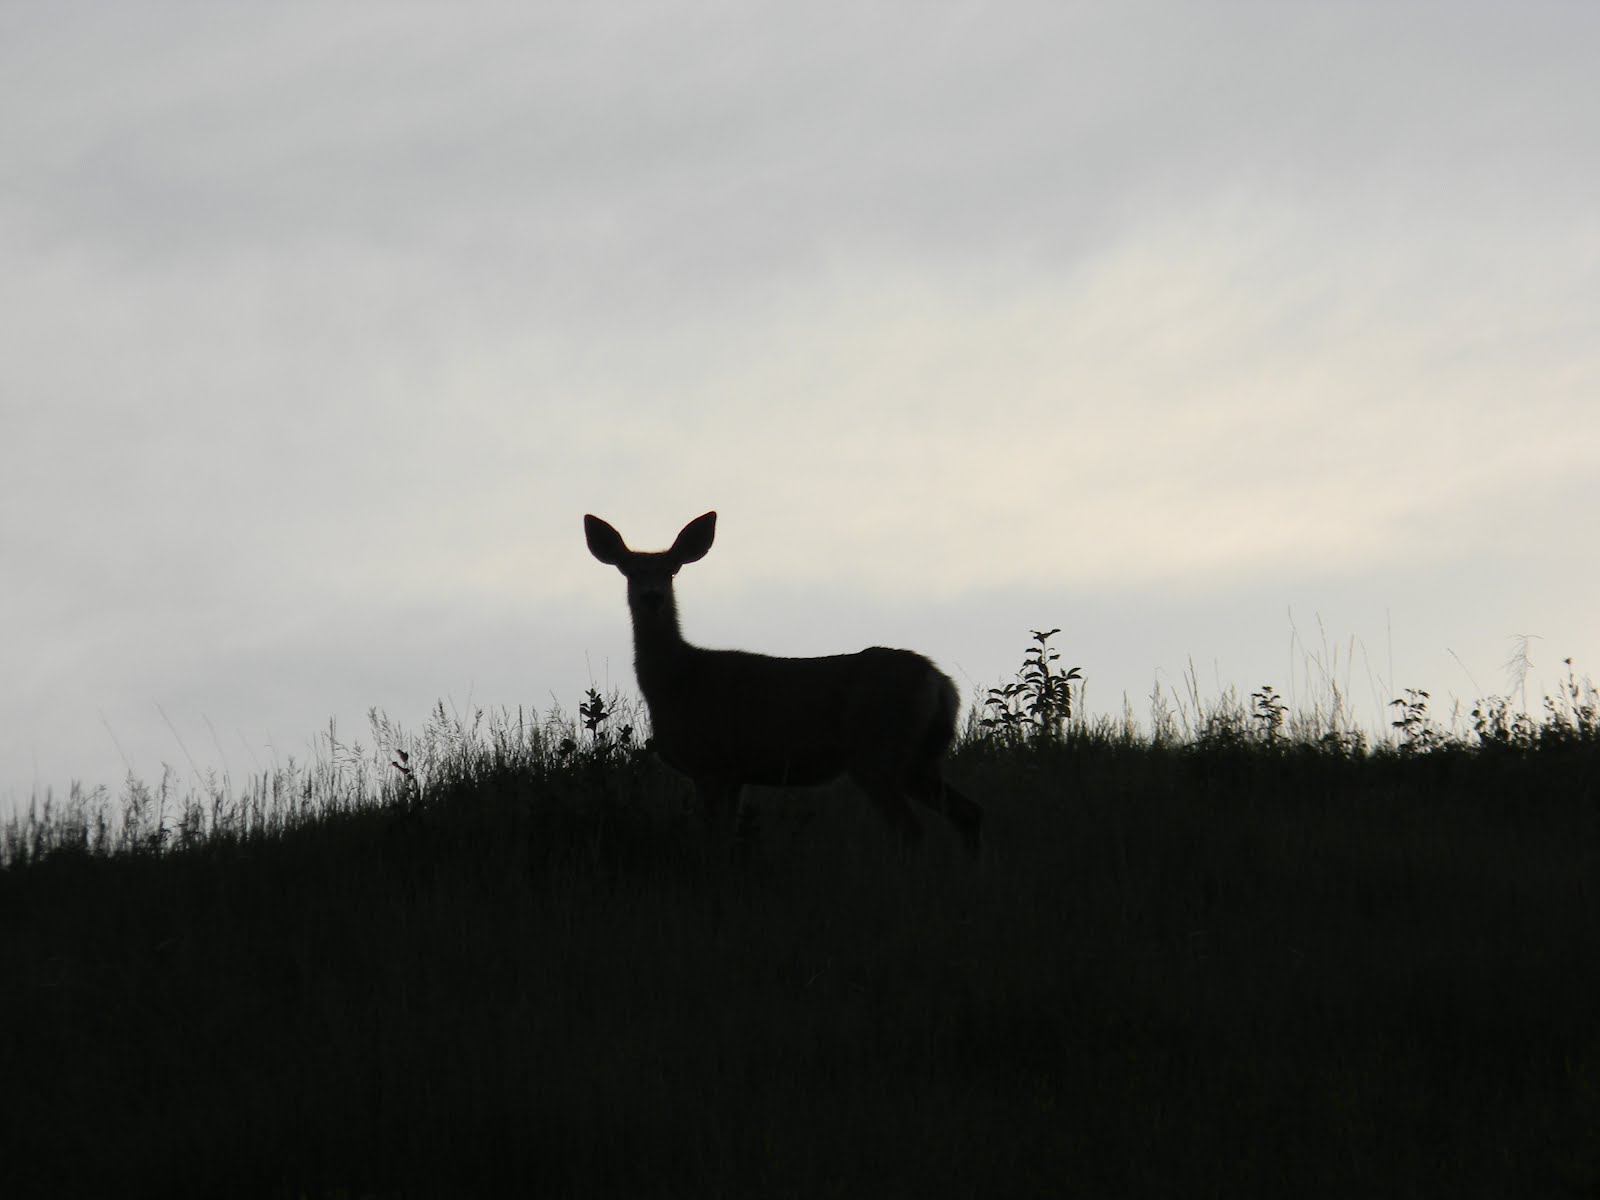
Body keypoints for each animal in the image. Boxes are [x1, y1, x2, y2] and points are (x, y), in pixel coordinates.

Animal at [585, 512, 979, 857]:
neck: (678, 681)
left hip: (877, 748)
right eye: (630, 571)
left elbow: (713, 841)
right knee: (968, 812)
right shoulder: (732, 773)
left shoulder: (713, 762)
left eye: (670, 570)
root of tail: (940, 682)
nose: (653, 596)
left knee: (912, 828)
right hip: (920, 758)